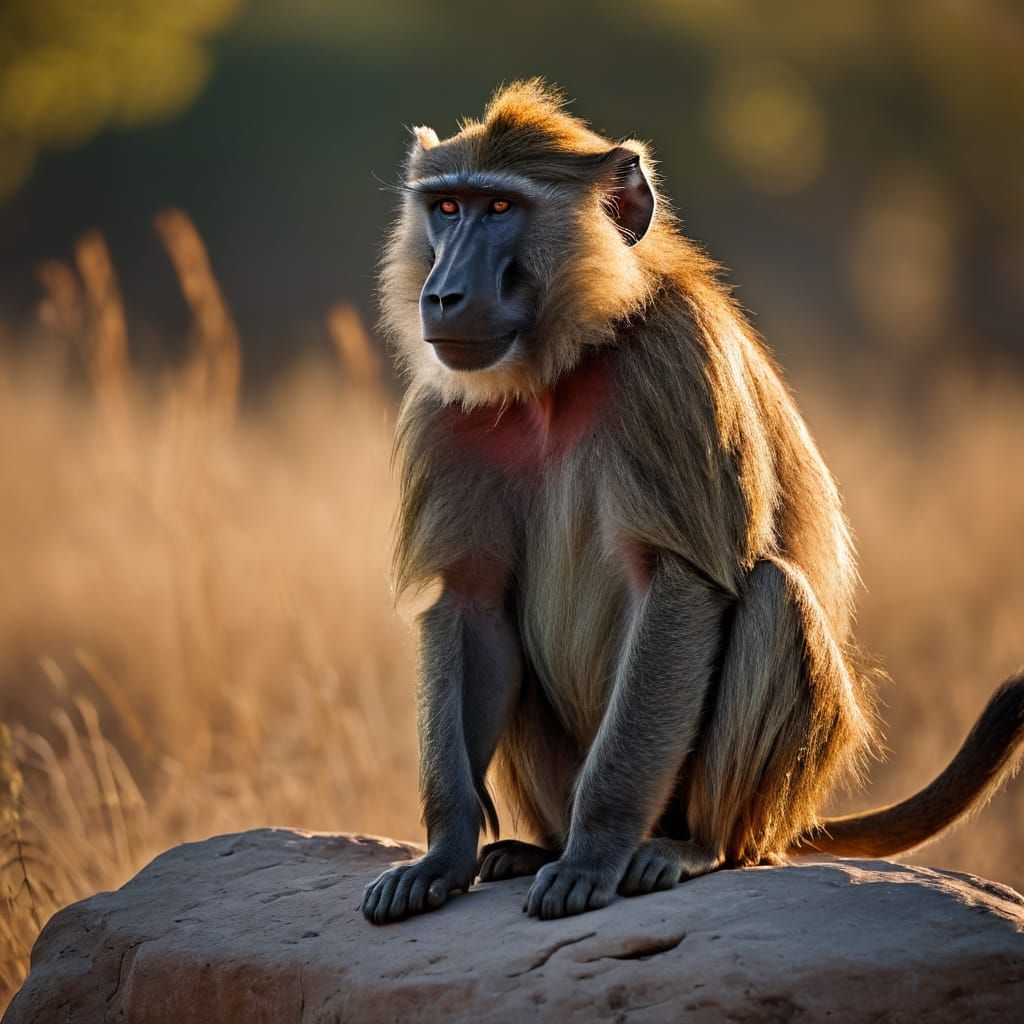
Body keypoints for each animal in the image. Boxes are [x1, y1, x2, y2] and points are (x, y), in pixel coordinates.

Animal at [360, 80, 1024, 924]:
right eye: (446, 208)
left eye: (501, 208)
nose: (442, 295)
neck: (563, 371)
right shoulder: (454, 406)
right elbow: (473, 602)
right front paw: (443, 855)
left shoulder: (676, 363)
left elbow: (684, 582)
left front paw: (594, 855)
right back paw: (534, 848)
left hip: (756, 800)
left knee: (772, 596)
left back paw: (688, 847)